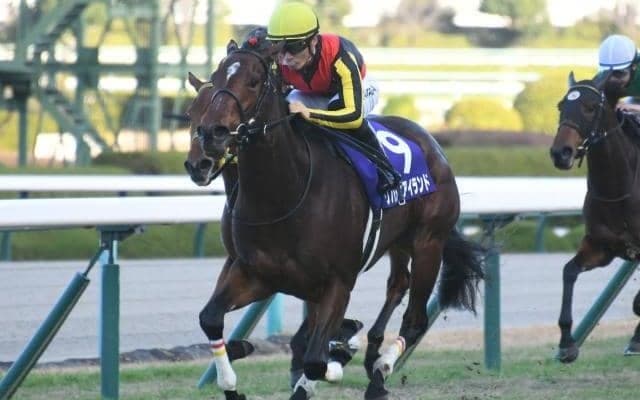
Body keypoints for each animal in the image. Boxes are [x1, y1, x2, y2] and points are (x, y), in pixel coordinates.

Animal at [184, 41, 485, 400]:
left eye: (255, 82)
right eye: (214, 80)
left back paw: (380, 369)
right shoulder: (255, 273)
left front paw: (341, 351)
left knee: (415, 319)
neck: (284, 194)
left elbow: (314, 358)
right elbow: (211, 318)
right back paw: (373, 357)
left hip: (429, 242)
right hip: (397, 242)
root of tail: (432, 145)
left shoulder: (336, 283)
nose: (208, 144)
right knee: (398, 283)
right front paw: (233, 380)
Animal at [550, 71, 640, 363]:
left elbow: (638, 302)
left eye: (590, 107)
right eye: (561, 106)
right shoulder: (601, 247)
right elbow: (569, 272)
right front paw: (566, 344)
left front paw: (635, 338)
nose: (561, 153)